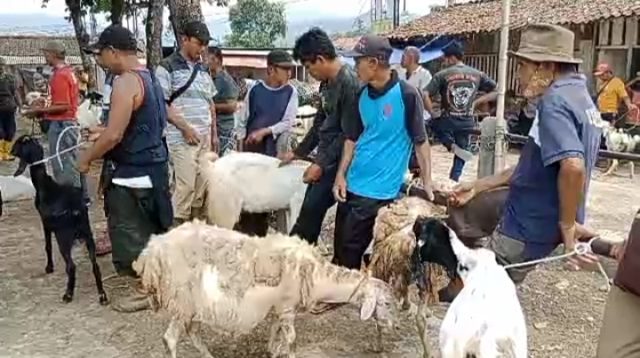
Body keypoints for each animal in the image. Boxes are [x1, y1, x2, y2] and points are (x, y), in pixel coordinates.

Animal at [11, 135, 107, 304]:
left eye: (18, 144)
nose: (10, 151)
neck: (44, 184)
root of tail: (76, 209)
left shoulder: (45, 223)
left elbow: (48, 246)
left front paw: (49, 267)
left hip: (63, 237)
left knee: (71, 266)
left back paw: (68, 294)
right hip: (88, 235)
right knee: (95, 265)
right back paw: (102, 295)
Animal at [133, 221, 396, 358]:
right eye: (386, 303)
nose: (393, 326)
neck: (318, 277)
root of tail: (151, 251)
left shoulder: (280, 307)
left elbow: (275, 331)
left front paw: (272, 350)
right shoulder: (287, 306)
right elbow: (291, 339)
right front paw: (287, 352)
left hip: (190, 304)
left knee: (192, 332)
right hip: (181, 298)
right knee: (170, 339)